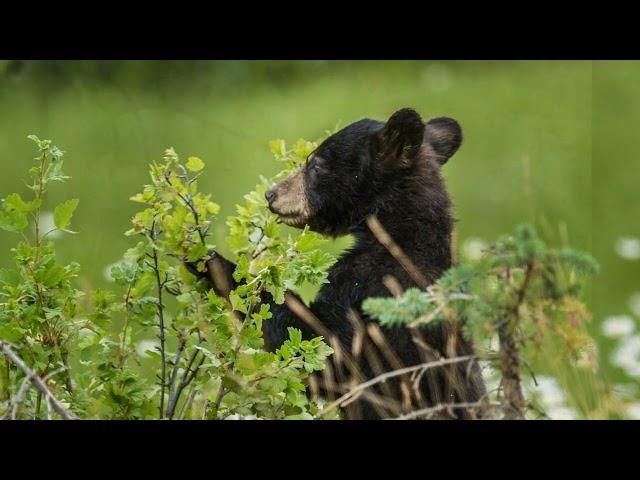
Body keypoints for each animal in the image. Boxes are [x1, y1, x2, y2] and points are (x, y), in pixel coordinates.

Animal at [195, 107, 484, 418]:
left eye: (315, 165)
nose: (271, 194)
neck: (401, 236)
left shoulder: (369, 292)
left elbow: (322, 354)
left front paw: (213, 264)